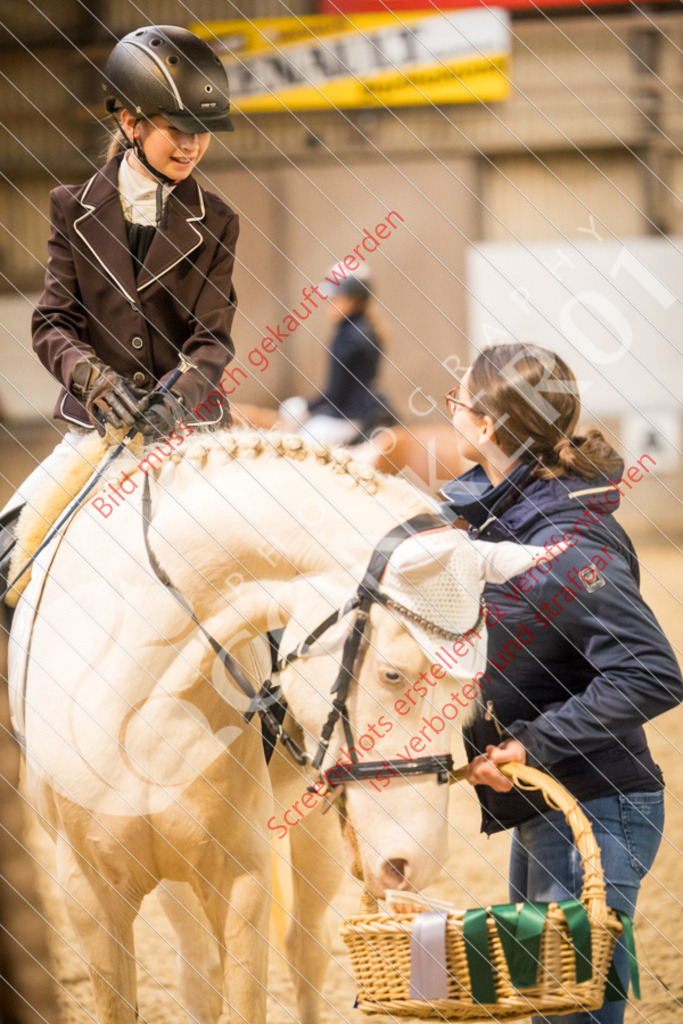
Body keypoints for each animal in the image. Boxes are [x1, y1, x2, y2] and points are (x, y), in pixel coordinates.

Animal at [5, 432, 540, 1024]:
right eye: (392, 673)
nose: (413, 864)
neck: (139, 699)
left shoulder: (240, 879)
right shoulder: (89, 893)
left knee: (303, 951)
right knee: (197, 969)